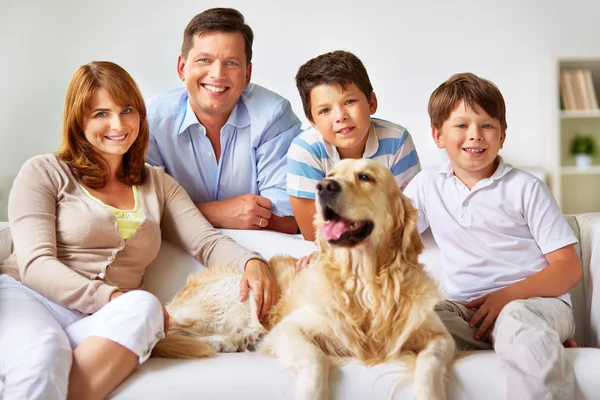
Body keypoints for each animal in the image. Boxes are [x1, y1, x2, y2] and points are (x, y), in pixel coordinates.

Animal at [155, 159, 454, 400]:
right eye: (330, 174)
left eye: (365, 177)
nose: (323, 186)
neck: (365, 284)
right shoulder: (288, 330)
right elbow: (316, 358)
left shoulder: (440, 336)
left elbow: (431, 362)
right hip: (238, 294)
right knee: (168, 332)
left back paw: (239, 340)